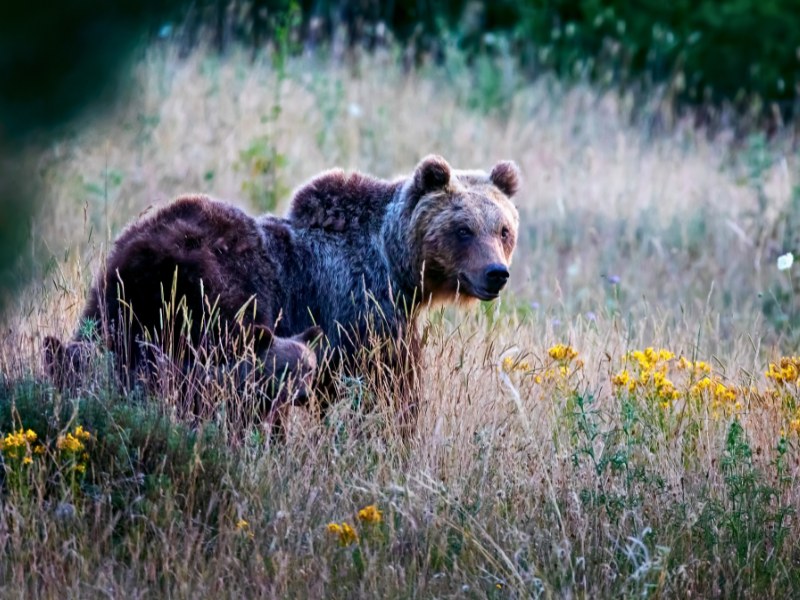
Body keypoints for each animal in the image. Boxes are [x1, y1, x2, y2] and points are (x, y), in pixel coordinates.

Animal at [53, 156, 520, 432]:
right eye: (463, 229)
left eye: (503, 229)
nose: (496, 274)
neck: (395, 266)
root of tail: (143, 252)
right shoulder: (361, 310)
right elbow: (386, 388)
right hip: (215, 296)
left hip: (119, 298)